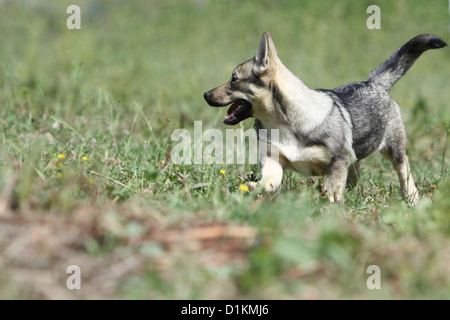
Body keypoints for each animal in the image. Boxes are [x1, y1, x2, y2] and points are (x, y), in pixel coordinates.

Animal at [204, 31, 446, 202]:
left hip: (394, 151)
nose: (205, 94)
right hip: (355, 160)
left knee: (405, 173)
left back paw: (411, 199)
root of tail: (372, 82)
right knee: (354, 176)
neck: (283, 123)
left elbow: (331, 190)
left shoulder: (338, 161)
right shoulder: (273, 160)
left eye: (233, 79)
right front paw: (256, 188)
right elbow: (269, 182)